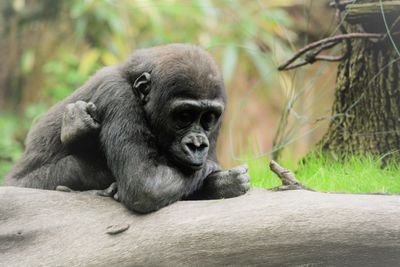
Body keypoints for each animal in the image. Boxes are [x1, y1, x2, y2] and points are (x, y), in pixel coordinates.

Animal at [5, 44, 250, 216]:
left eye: (208, 118)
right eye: (184, 116)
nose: (197, 144)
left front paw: (223, 184)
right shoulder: (117, 95)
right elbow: (145, 185)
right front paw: (219, 175)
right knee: (77, 167)